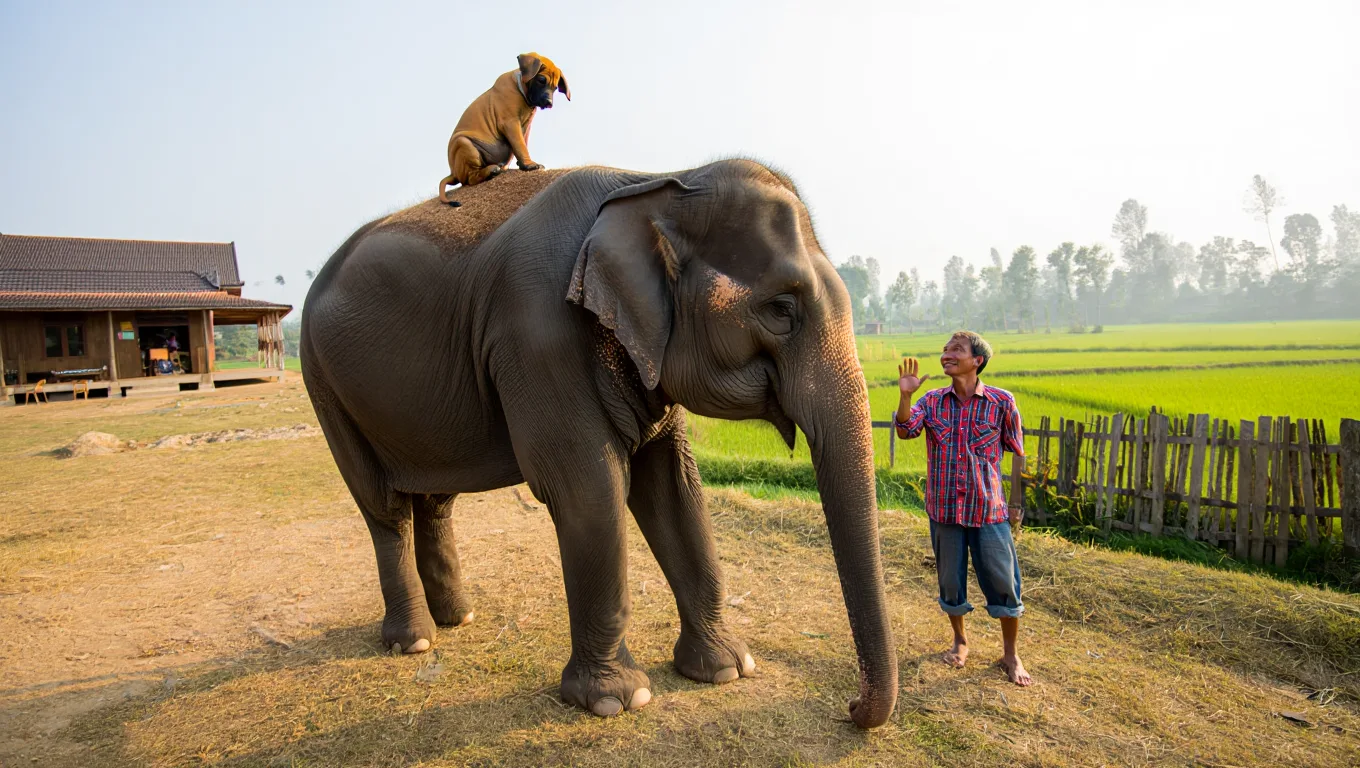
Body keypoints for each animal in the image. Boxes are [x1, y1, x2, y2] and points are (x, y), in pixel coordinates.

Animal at [300, 159, 898, 728]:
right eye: (780, 310)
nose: (851, 708)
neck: (658, 181)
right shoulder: (537, 340)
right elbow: (589, 490)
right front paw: (617, 700)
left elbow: (674, 489)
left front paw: (727, 669)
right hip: (323, 384)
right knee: (384, 507)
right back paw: (415, 641)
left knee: (435, 499)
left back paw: (458, 617)